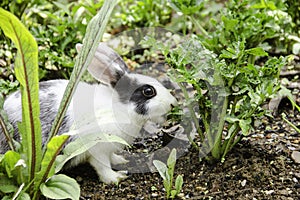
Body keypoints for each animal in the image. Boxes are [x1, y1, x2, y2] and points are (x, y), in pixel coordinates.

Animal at [0, 42, 177, 184]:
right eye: (148, 91)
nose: (173, 103)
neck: (120, 107)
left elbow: (112, 157)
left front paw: (121, 161)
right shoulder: (97, 149)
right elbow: (103, 166)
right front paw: (115, 178)